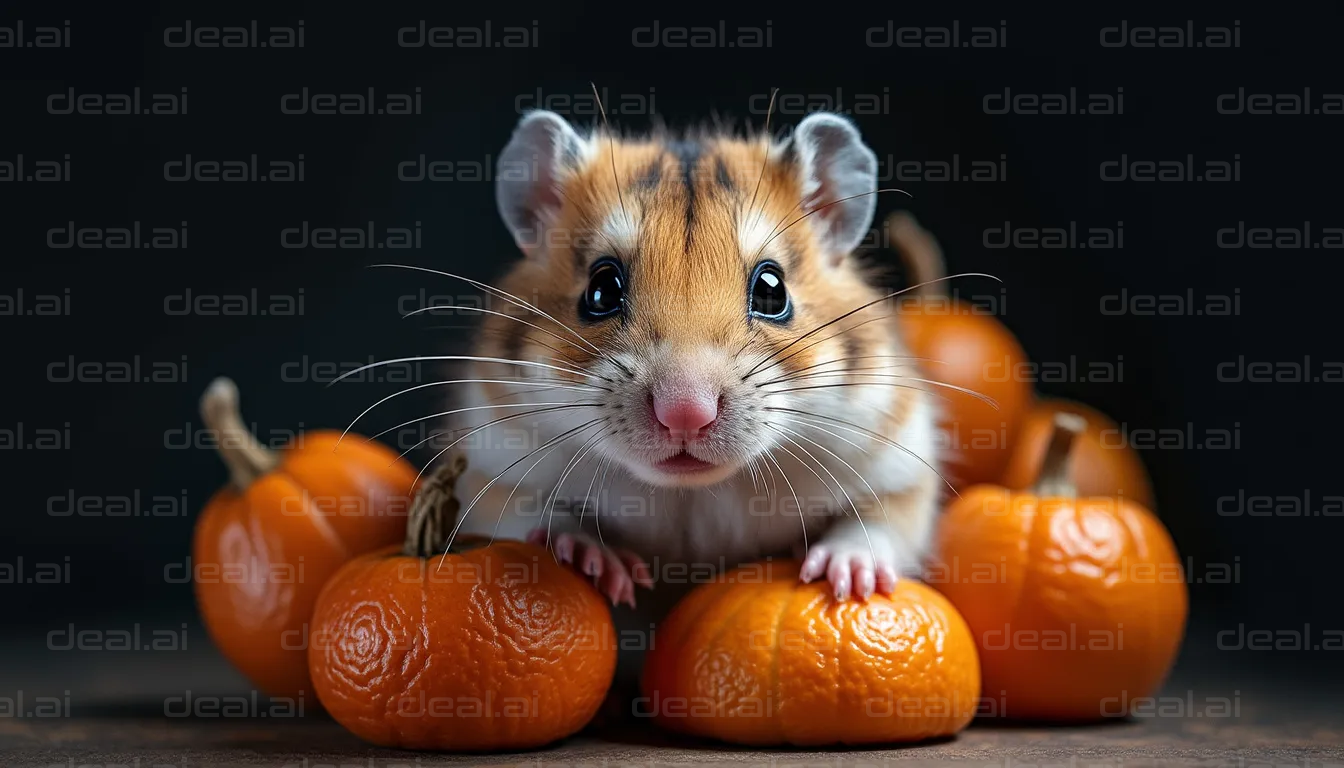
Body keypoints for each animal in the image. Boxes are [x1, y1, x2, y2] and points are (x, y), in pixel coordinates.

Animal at [445, 109, 942, 616]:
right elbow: (532, 513)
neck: (693, 492)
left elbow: (877, 522)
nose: (685, 415)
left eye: (773, 290)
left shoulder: (899, 464)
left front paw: (844, 580)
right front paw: (600, 564)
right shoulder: (490, 471)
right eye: (601, 290)